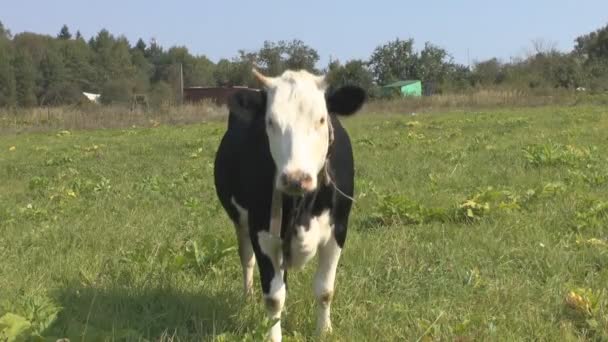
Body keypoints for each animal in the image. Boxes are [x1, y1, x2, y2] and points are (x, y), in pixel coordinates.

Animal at [214, 68, 366, 340]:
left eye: (321, 119)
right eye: (270, 122)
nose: (296, 178)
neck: (302, 206)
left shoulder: (338, 230)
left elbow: (325, 290)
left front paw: (324, 331)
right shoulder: (262, 234)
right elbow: (274, 298)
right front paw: (273, 335)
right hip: (241, 223)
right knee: (247, 259)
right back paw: (247, 297)